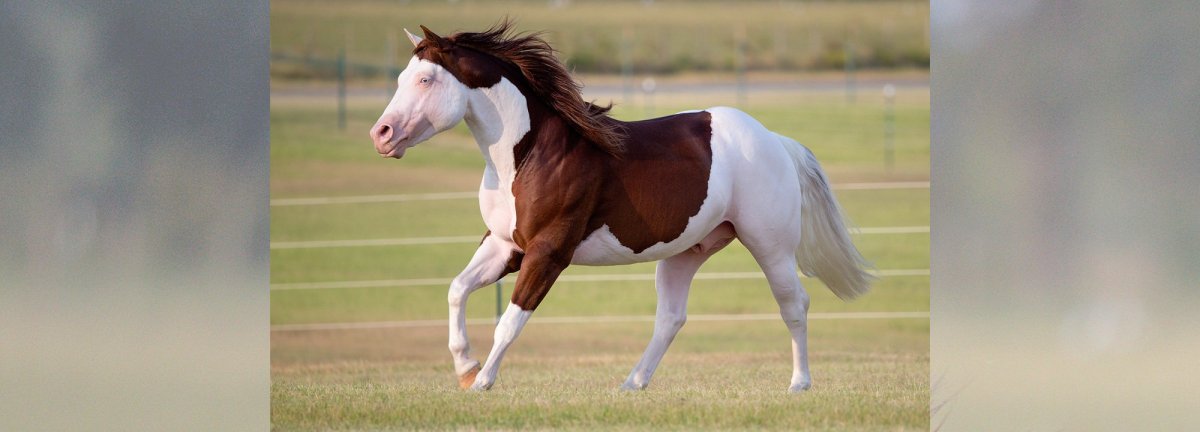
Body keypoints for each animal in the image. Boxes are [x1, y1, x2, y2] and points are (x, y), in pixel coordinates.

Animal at [369, 22, 873, 393]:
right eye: (400, 79)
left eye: (425, 79)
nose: (382, 134)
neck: (531, 155)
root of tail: (775, 140)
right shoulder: (504, 245)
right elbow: (457, 290)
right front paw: (466, 368)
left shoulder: (548, 252)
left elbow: (510, 322)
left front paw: (482, 383)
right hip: (686, 252)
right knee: (671, 318)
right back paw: (632, 385)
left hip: (770, 246)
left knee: (794, 304)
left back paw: (799, 384)